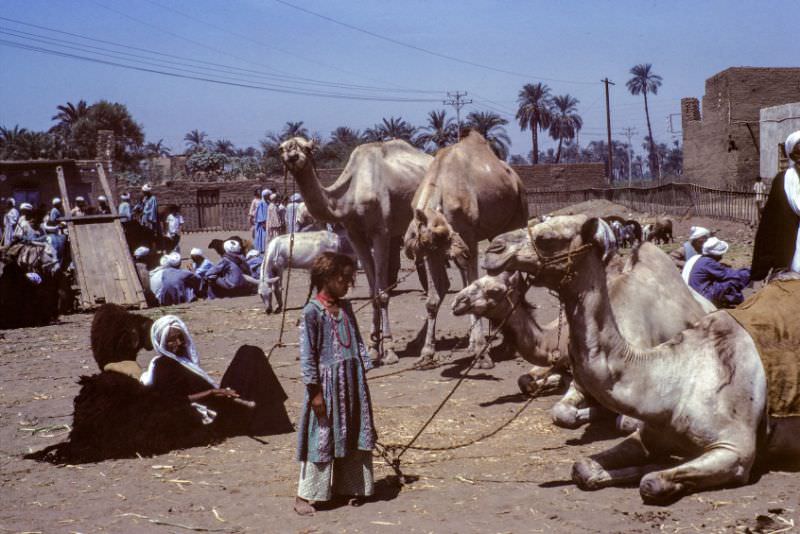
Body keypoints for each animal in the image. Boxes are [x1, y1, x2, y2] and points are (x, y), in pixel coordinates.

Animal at [280, 136, 434, 366]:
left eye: (306, 148)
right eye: (281, 148)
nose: (291, 155)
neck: (348, 197)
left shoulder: (381, 232)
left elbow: (383, 293)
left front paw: (389, 350)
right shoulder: (355, 235)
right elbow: (372, 291)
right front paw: (373, 348)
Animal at [404, 132, 528, 370]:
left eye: (445, 232)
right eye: (440, 236)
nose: (462, 251)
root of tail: (515, 178)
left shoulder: (469, 236)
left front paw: (482, 354)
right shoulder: (433, 252)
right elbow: (433, 299)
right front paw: (426, 354)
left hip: (518, 213)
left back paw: (506, 345)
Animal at [484, 215, 800, 506]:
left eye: (548, 238)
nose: (493, 249)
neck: (674, 379)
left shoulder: (735, 450)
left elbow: (651, 482)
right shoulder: (652, 433)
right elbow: (583, 466)